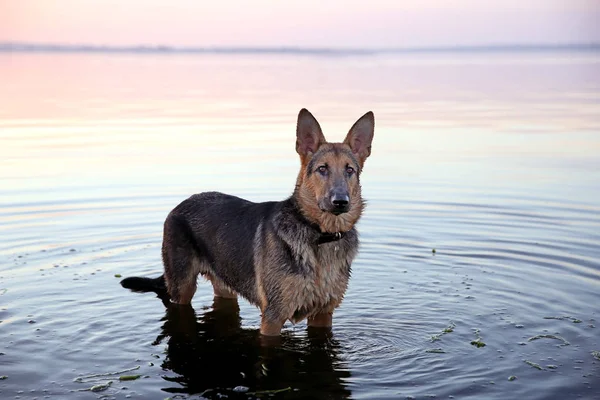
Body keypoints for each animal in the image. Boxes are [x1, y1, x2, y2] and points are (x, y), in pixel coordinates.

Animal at [120, 108, 376, 336]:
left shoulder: (323, 315)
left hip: (225, 286)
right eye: (322, 169)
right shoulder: (273, 317)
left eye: (349, 170)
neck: (320, 236)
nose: (340, 201)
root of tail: (181, 204)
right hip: (182, 289)